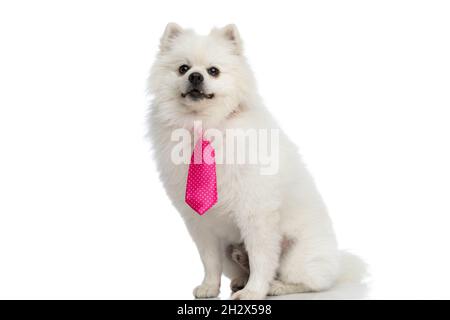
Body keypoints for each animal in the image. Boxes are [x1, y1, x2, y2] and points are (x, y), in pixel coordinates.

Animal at [149, 23, 352, 300]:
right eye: (183, 68)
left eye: (213, 71)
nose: (196, 77)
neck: (205, 124)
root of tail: (338, 265)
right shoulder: (201, 223)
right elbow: (209, 260)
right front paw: (209, 287)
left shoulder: (256, 213)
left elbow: (260, 259)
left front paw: (254, 291)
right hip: (230, 252)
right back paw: (239, 279)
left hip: (297, 256)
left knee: (310, 281)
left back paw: (277, 286)